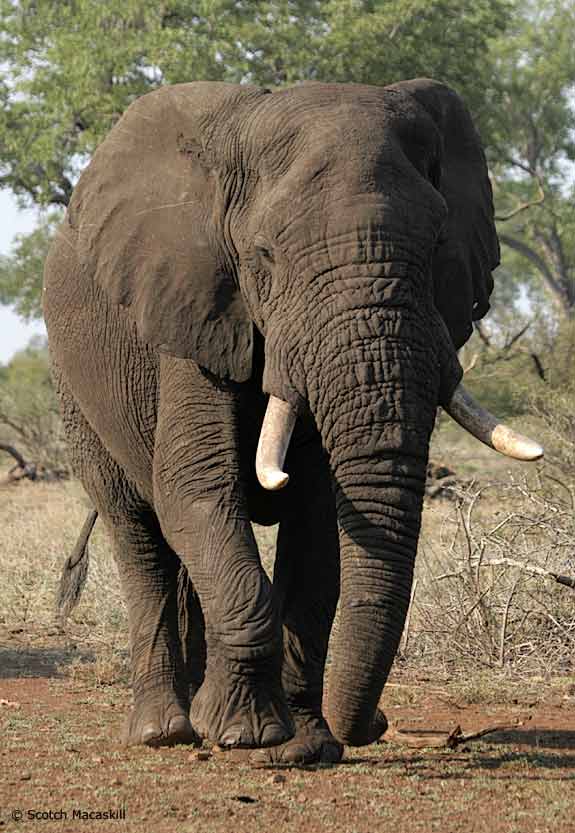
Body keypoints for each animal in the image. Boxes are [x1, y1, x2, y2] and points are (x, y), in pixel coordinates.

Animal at [44, 76, 540, 760]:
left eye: (438, 243)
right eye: (264, 256)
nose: (367, 726)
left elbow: (318, 522)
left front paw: (304, 747)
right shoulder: (195, 309)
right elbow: (197, 487)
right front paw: (243, 734)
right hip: (76, 388)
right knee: (137, 531)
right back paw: (166, 730)